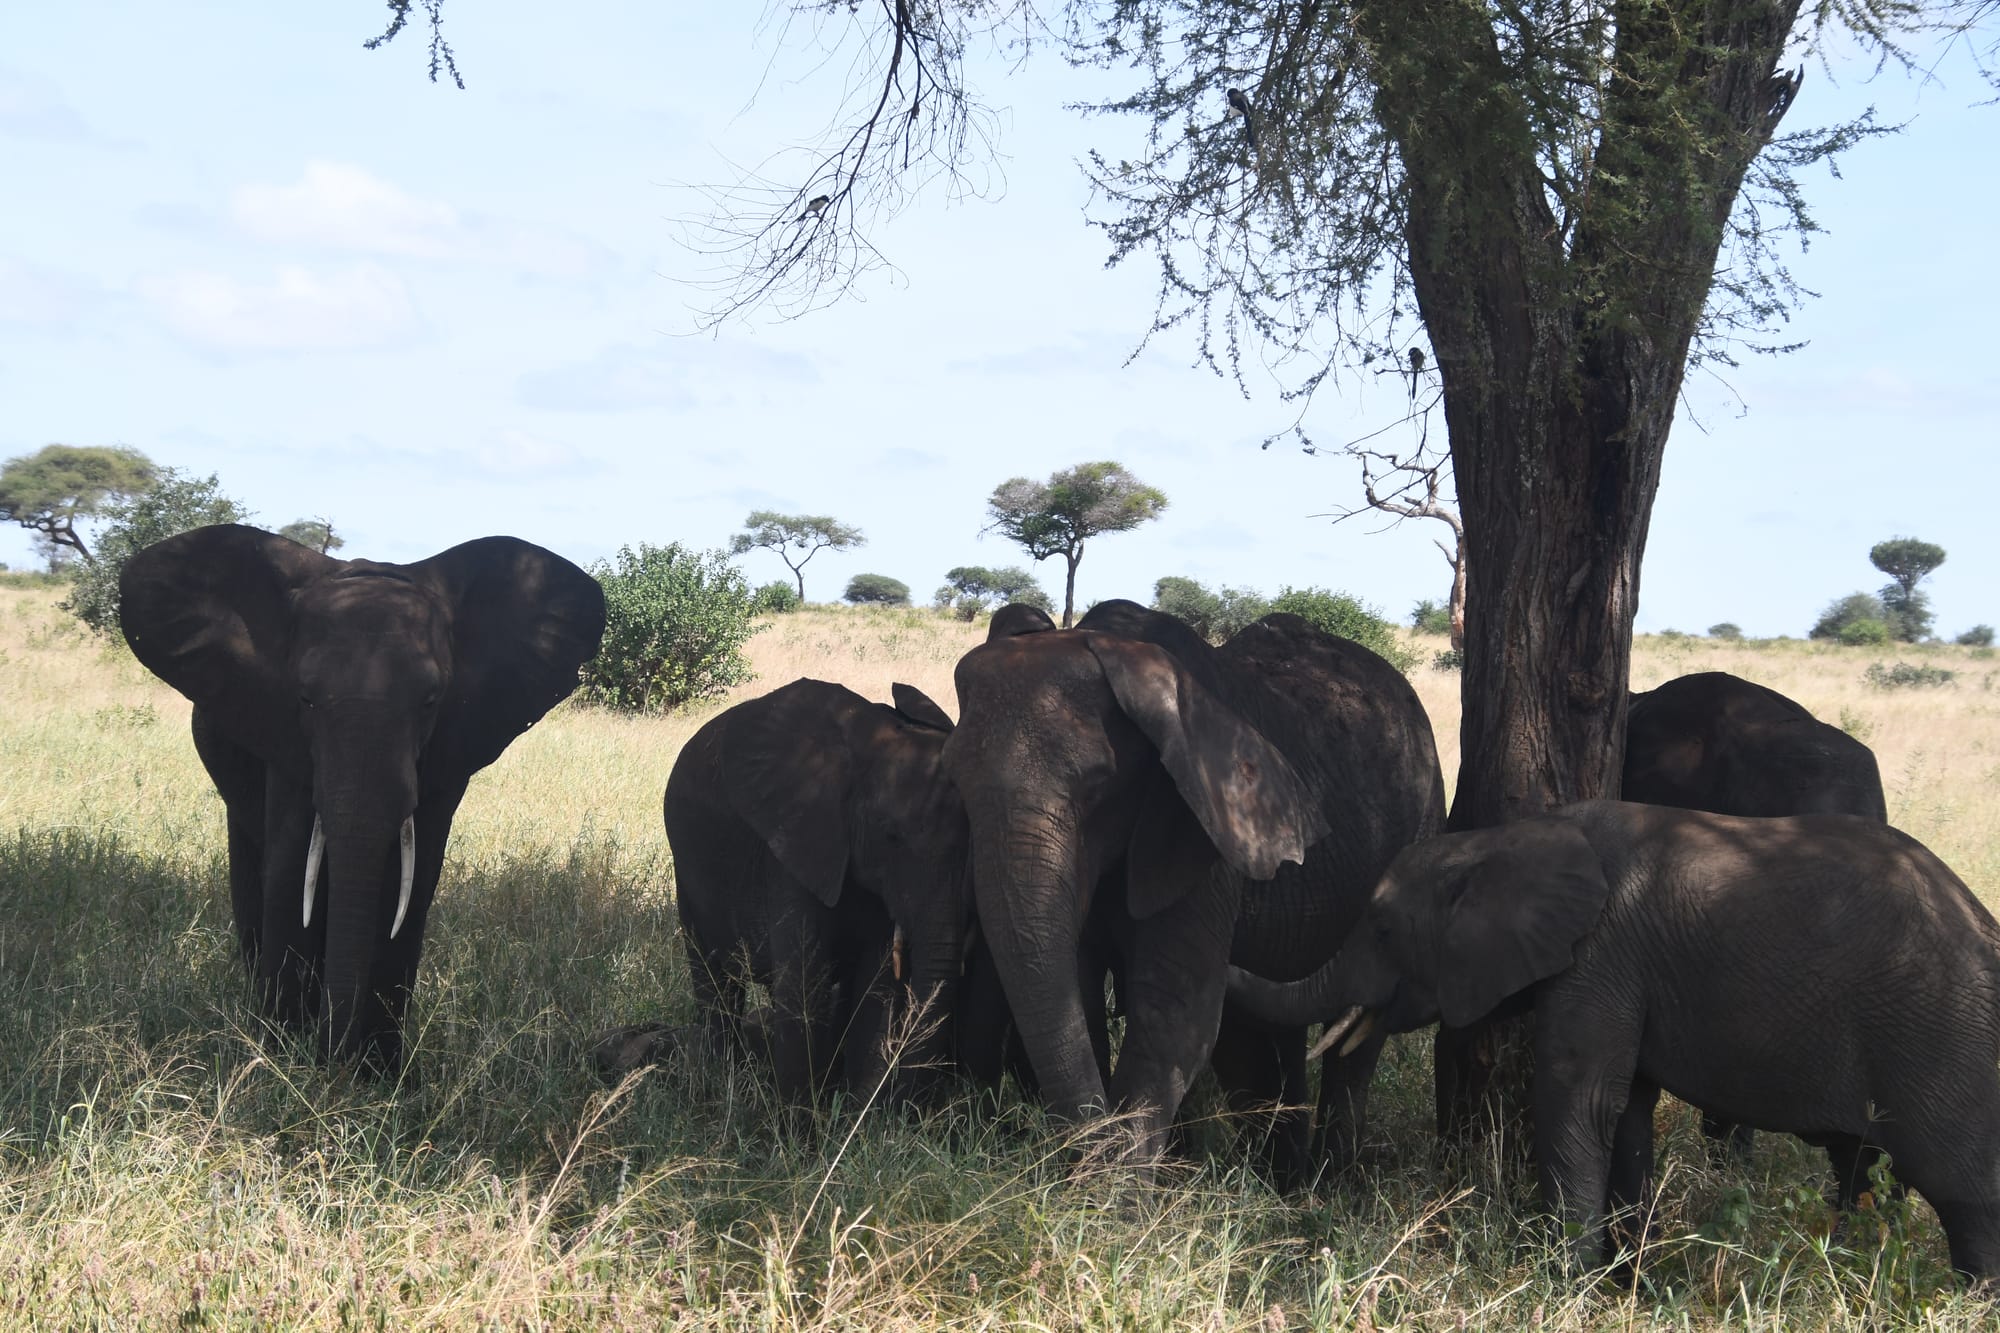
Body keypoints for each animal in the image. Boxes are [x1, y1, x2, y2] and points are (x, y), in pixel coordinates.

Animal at [120, 523, 605, 1074]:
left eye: (432, 701)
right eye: (305, 698)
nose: (332, 1063)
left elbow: (411, 881)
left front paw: (382, 1075)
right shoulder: (284, 733)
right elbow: (291, 870)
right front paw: (284, 1061)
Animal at [663, 677, 969, 1105]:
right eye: (890, 836)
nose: (900, 1106)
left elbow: (874, 982)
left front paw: (855, 1108)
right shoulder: (794, 843)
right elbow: (804, 983)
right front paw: (797, 1119)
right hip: (688, 866)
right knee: (713, 977)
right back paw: (720, 1076)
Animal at [941, 599, 1447, 1183]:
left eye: (1100, 785)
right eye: (956, 785)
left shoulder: (1203, 825)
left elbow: (1175, 1009)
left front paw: (1118, 1194)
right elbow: (1080, 996)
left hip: (1422, 824)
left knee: (1355, 1035)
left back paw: (1328, 1183)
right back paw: (1286, 1180)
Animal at [1228, 801, 2000, 1282]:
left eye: (1383, 929)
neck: (1506, 838)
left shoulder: (1602, 956)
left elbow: (1579, 1101)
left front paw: (1561, 1282)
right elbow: (1625, 1113)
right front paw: (1621, 1281)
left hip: (1943, 1036)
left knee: (1965, 1193)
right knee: (1867, 1171)